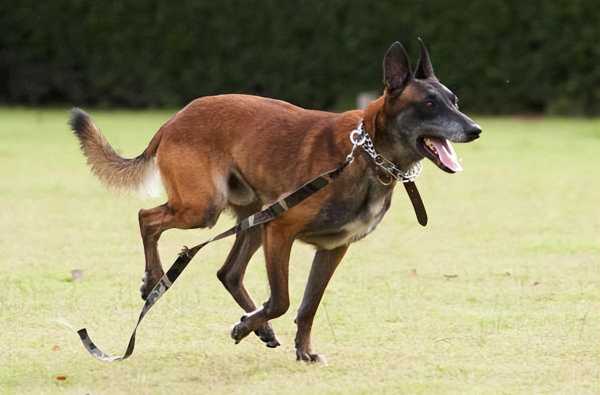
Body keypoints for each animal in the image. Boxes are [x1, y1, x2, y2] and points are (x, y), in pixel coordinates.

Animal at [71, 39, 482, 362]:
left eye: (454, 101)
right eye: (429, 105)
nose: (475, 130)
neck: (364, 153)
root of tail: (172, 120)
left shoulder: (332, 248)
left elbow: (308, 305)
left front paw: (302, 349)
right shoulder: (282, 230)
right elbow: (283, 299)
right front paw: (244, 328)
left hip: (254, 217)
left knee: (228, 272)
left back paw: (260, 328)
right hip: (205, 208)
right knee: (147, 217)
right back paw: (154, 279)